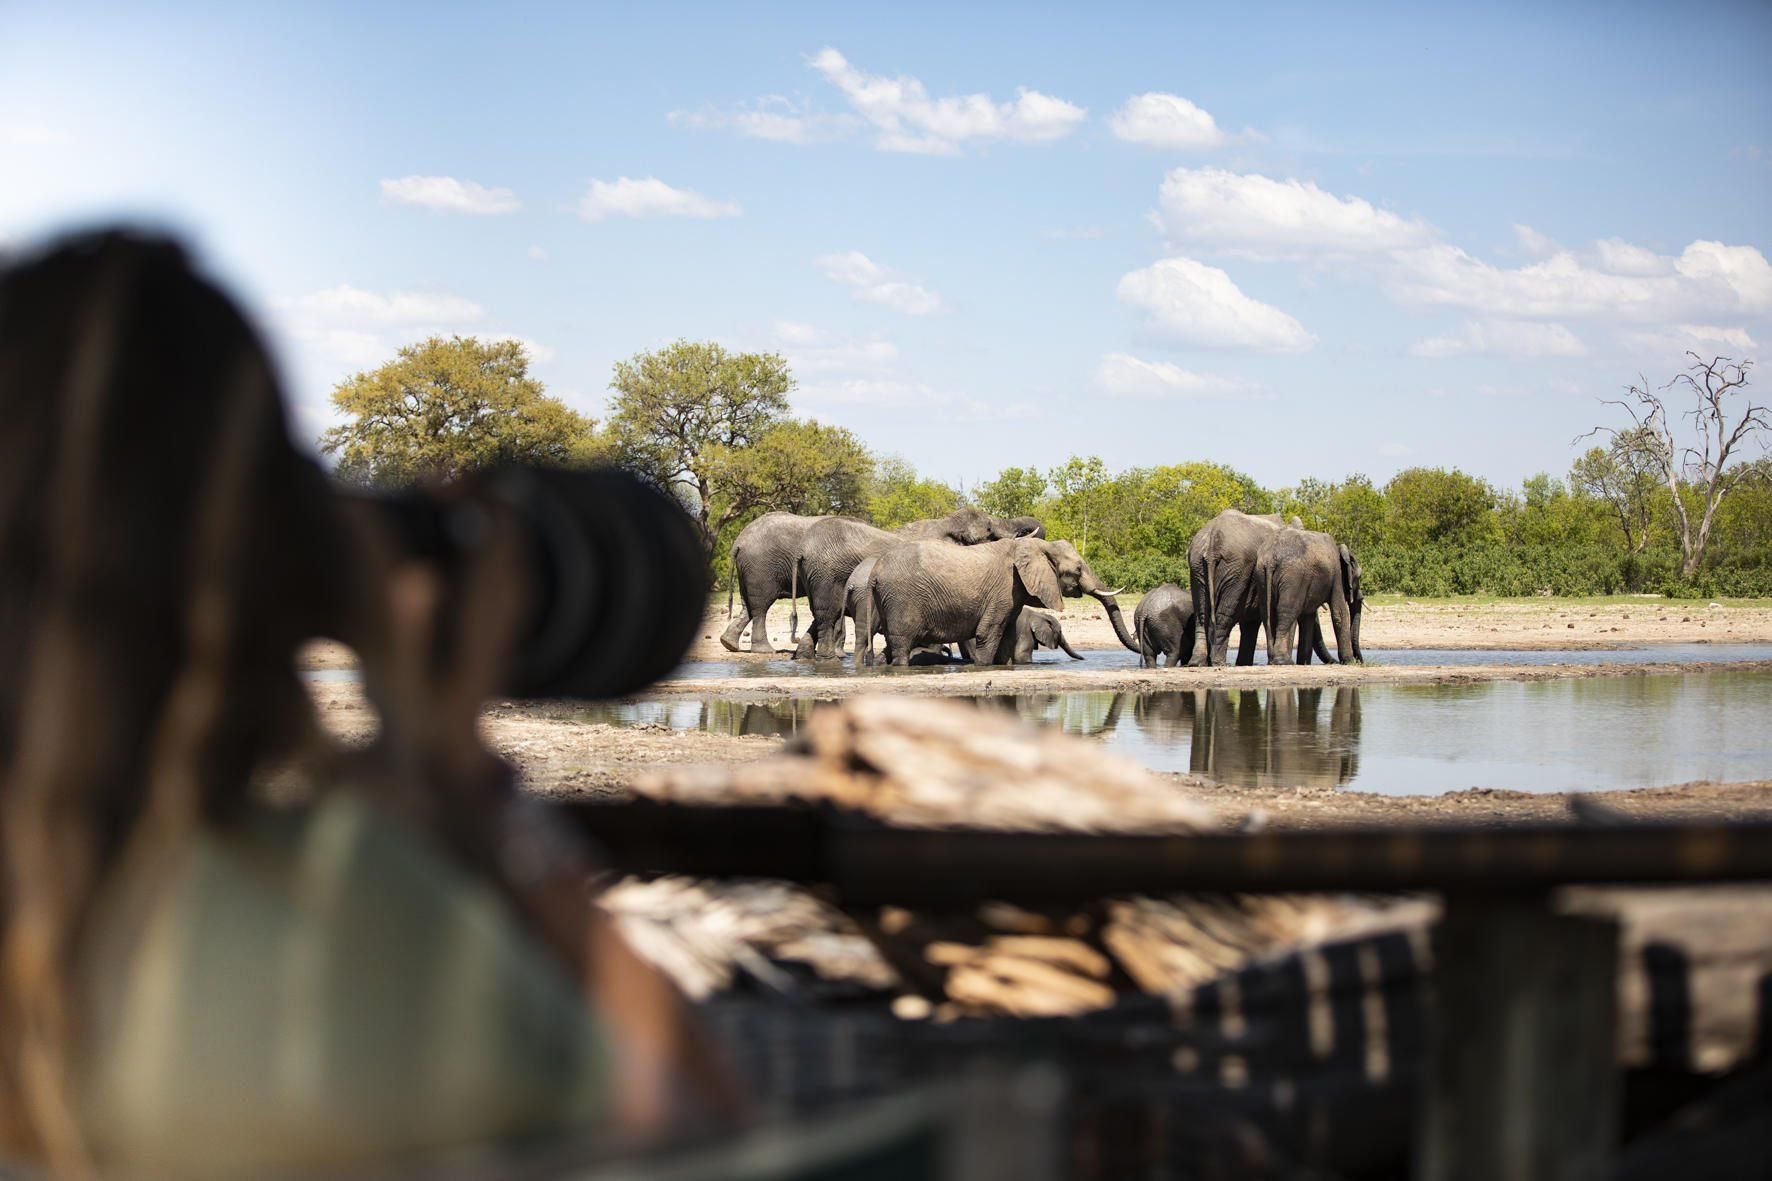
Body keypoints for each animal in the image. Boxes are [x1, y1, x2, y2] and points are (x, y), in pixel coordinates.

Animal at [719, 507, 829, 652]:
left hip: (747, 568)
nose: (796, 639)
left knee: (747, 606)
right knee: (760, 607)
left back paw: (728, 643)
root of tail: (738, 543)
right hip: (760, 568)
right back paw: (764, 650)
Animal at [861, 531, 1134, 663]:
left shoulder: (1014, 595)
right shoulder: (1004, 590)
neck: (1035, 546)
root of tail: (874, 572)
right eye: (1077, 570)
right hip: (901, 600)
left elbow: (1008, 637)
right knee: (901, 645)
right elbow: (987, 635)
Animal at [1183, 510, 1297, 666]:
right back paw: (1219, 663)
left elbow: (1250, 622)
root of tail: (1212, 542)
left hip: (1199, 567)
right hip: (1235, 571)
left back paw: (1197, 663)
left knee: (1201, 615)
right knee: (1223, 615)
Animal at [1254, 524, 1360, 663]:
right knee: (1287, 612)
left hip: (1261, 574)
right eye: (1359, 577)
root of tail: (1271, 559)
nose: (1359, 660)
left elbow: (1308, 618)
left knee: (1268, 612)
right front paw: (1349, 661)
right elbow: (1340, 613)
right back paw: (1283, 661)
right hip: (1294, 576)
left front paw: (1303, 663)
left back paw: (1274, 661)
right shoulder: (1337, 575)